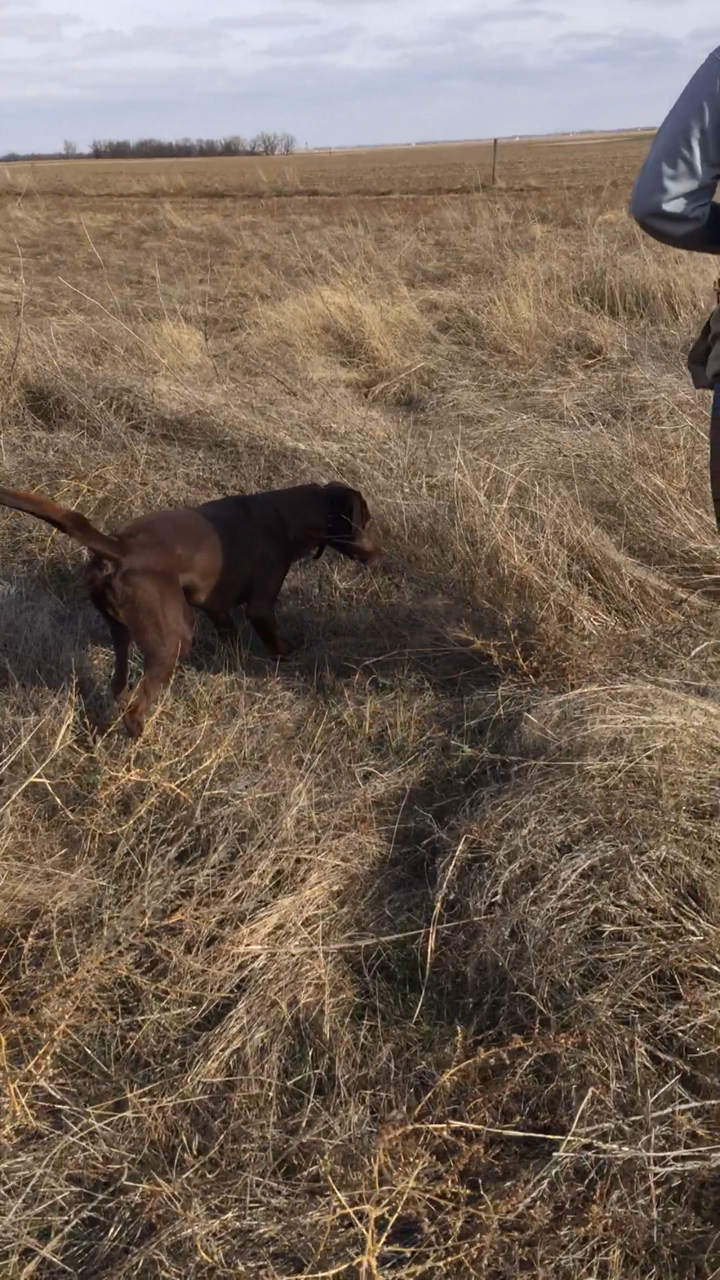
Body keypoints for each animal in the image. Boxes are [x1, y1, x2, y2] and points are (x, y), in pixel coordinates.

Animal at [0, 481, 381, 742]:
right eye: (365, 519)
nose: (378, 555)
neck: (292, 515)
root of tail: (117, 547)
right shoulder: (260, 608)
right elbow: (277, 645)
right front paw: (287, 666)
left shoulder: (216, 606)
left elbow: (231, 636)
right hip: (173, 636)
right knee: (136, 710)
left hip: (121, 628)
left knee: (119, 683)